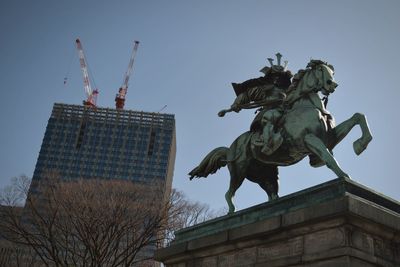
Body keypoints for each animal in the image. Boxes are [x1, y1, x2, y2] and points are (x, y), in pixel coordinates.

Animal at [188, 59, 372, 215]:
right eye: (320, 69)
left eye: (332, 72)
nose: (332, 84)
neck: (306, 105)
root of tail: (229, 149)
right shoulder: (310, 139)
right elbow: (329, 158)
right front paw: (344, 175)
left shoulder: (330, 137)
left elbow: (358, 117)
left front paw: (360, 145)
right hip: (239, 170)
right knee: (229, 193)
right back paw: (232, 213)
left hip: (266, 175)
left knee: (272, 196)